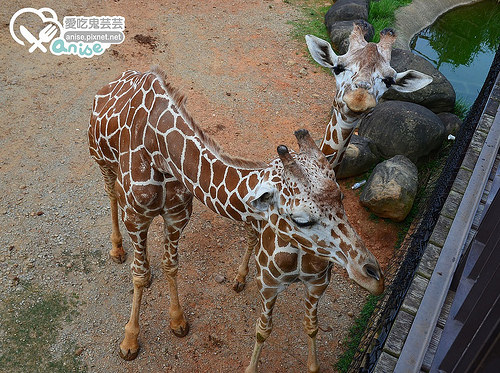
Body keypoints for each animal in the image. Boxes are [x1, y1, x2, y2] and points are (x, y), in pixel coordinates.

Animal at [88, 64, 382, 370]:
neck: (162, 152)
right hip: (101, 160)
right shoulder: (136, 216)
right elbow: (138, 274)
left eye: (341, 198)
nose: (373, 275)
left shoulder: (177, 214)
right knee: (111, 195)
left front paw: (177, 321)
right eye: (301, 219)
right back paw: (117, 250)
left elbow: (171, 266)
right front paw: (129, 342)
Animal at [235, 24, 434, 372]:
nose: (358, 99)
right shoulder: (269, 286)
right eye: (339, 67)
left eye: (388, 79)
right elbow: (262, 330)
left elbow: (311, 326)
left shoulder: (319, 285)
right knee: (249, 236)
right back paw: (239, 276)